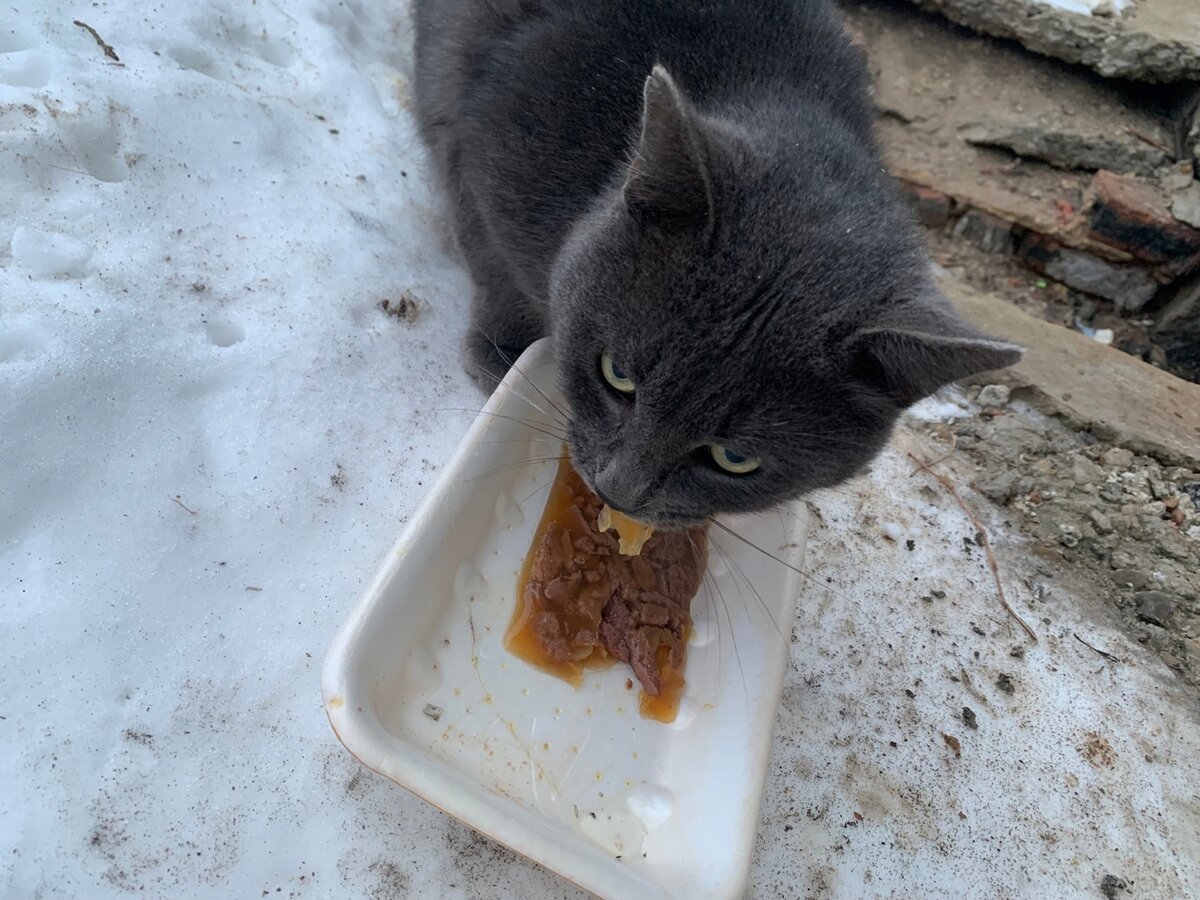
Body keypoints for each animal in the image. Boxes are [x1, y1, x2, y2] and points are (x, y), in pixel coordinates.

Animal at [412, 0, 1022, 528]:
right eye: (616, 374)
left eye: (734, 459)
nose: (617, 491)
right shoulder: (480, 137)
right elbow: (491, 255)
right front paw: (501, 354)